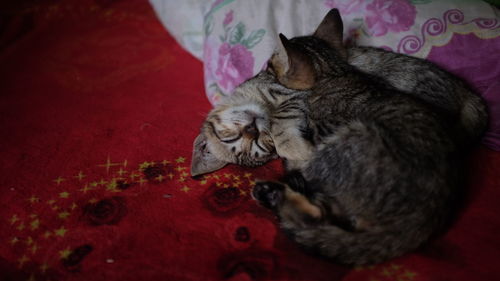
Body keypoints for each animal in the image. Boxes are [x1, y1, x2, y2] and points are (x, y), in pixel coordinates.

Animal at [190, 8, 488, 264]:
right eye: (233, 139)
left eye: (259, 144)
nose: (253, 128)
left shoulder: (295, 101)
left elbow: (284, 117)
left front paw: (287, 142)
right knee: (322, 216)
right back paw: (272, 193)